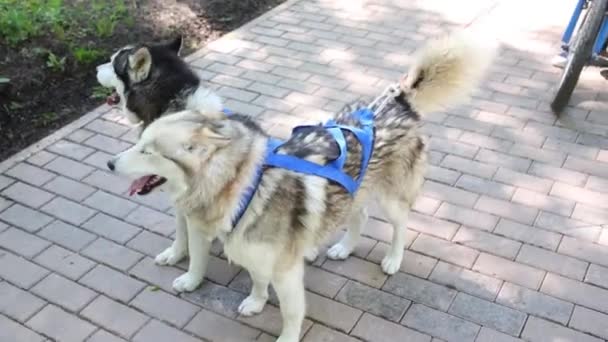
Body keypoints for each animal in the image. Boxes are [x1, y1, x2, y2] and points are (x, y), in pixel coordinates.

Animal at [108, 34, 494, 342]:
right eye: (140, 143)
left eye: (148, 151)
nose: (110, 164)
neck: (242, 191)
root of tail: (396, 101)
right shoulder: (252, 252)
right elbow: (256, 279)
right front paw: (256, 301)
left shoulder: (285, 272)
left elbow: (290, 313)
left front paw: (285, 335)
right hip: (354, 192)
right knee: (359, 217)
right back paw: (343, 248)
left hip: (392, 199)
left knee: (400, 227)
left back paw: (393, 259)